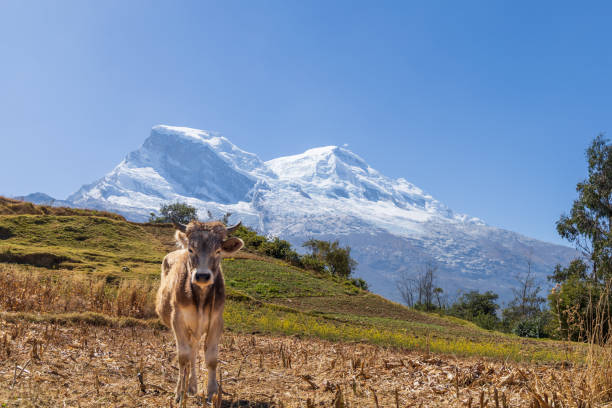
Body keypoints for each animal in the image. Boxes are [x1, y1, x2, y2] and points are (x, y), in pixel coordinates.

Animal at [155, 220, 244, 402]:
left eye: (218, 251)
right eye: (191, 249)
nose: (202, 276)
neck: (201, 298)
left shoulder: (216, 321)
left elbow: (211, 357)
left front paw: (211, 392)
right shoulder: (177, 320)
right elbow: (183, 357)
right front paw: (179, 392)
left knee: (194, 351)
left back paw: (192, 386)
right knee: (190, 354)